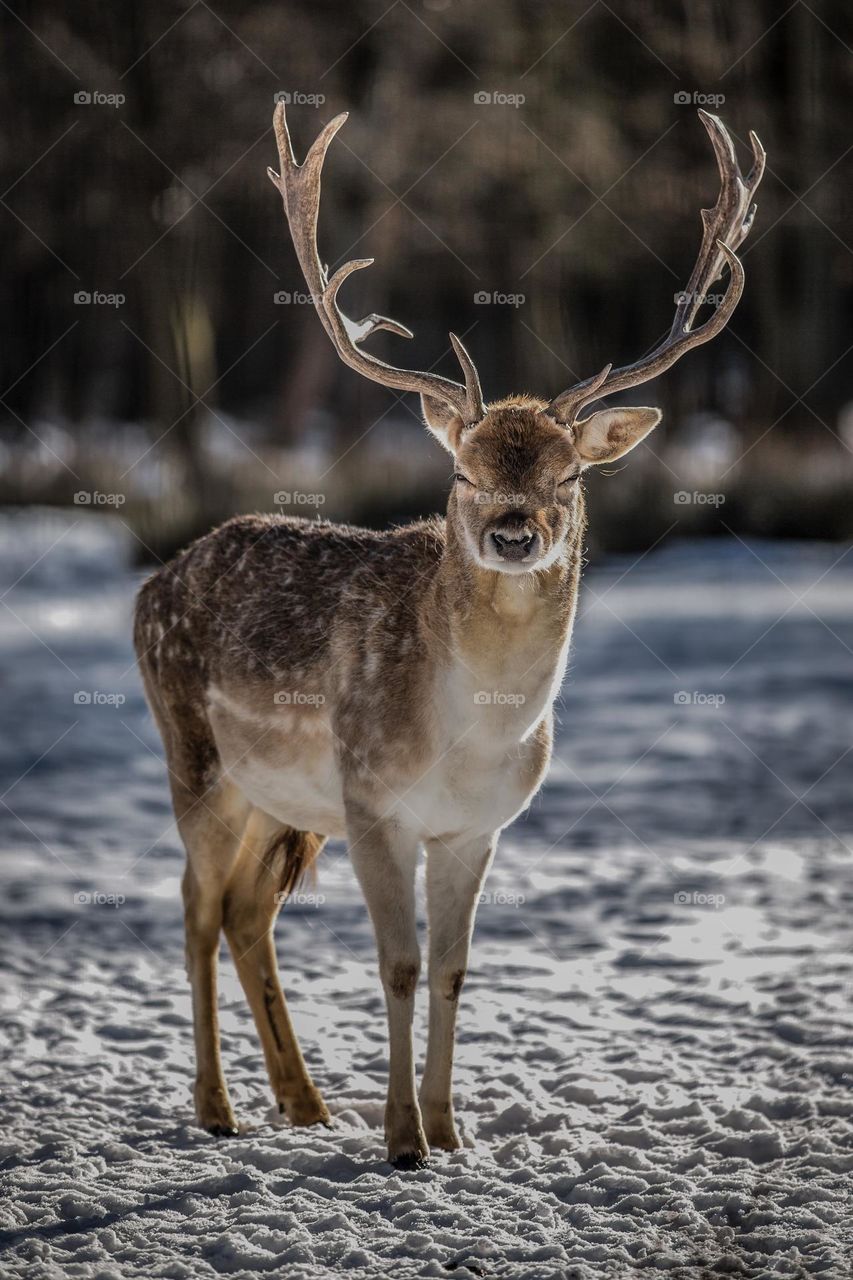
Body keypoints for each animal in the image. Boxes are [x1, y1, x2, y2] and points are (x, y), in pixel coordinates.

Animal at [133, 103, 764, 1168]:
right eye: (464, 472)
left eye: (568, 476)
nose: (512, 531)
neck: (474, 734)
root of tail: (150, 583)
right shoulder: (374, 804)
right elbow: (395, 964)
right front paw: (400, 1141)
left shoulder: (477, 827)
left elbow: (453, 969)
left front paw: (449, 1129)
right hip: (198, 759)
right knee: (193, 910)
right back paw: (217, 1108)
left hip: (283, 801)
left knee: (246, 912)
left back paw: (304, 1104)